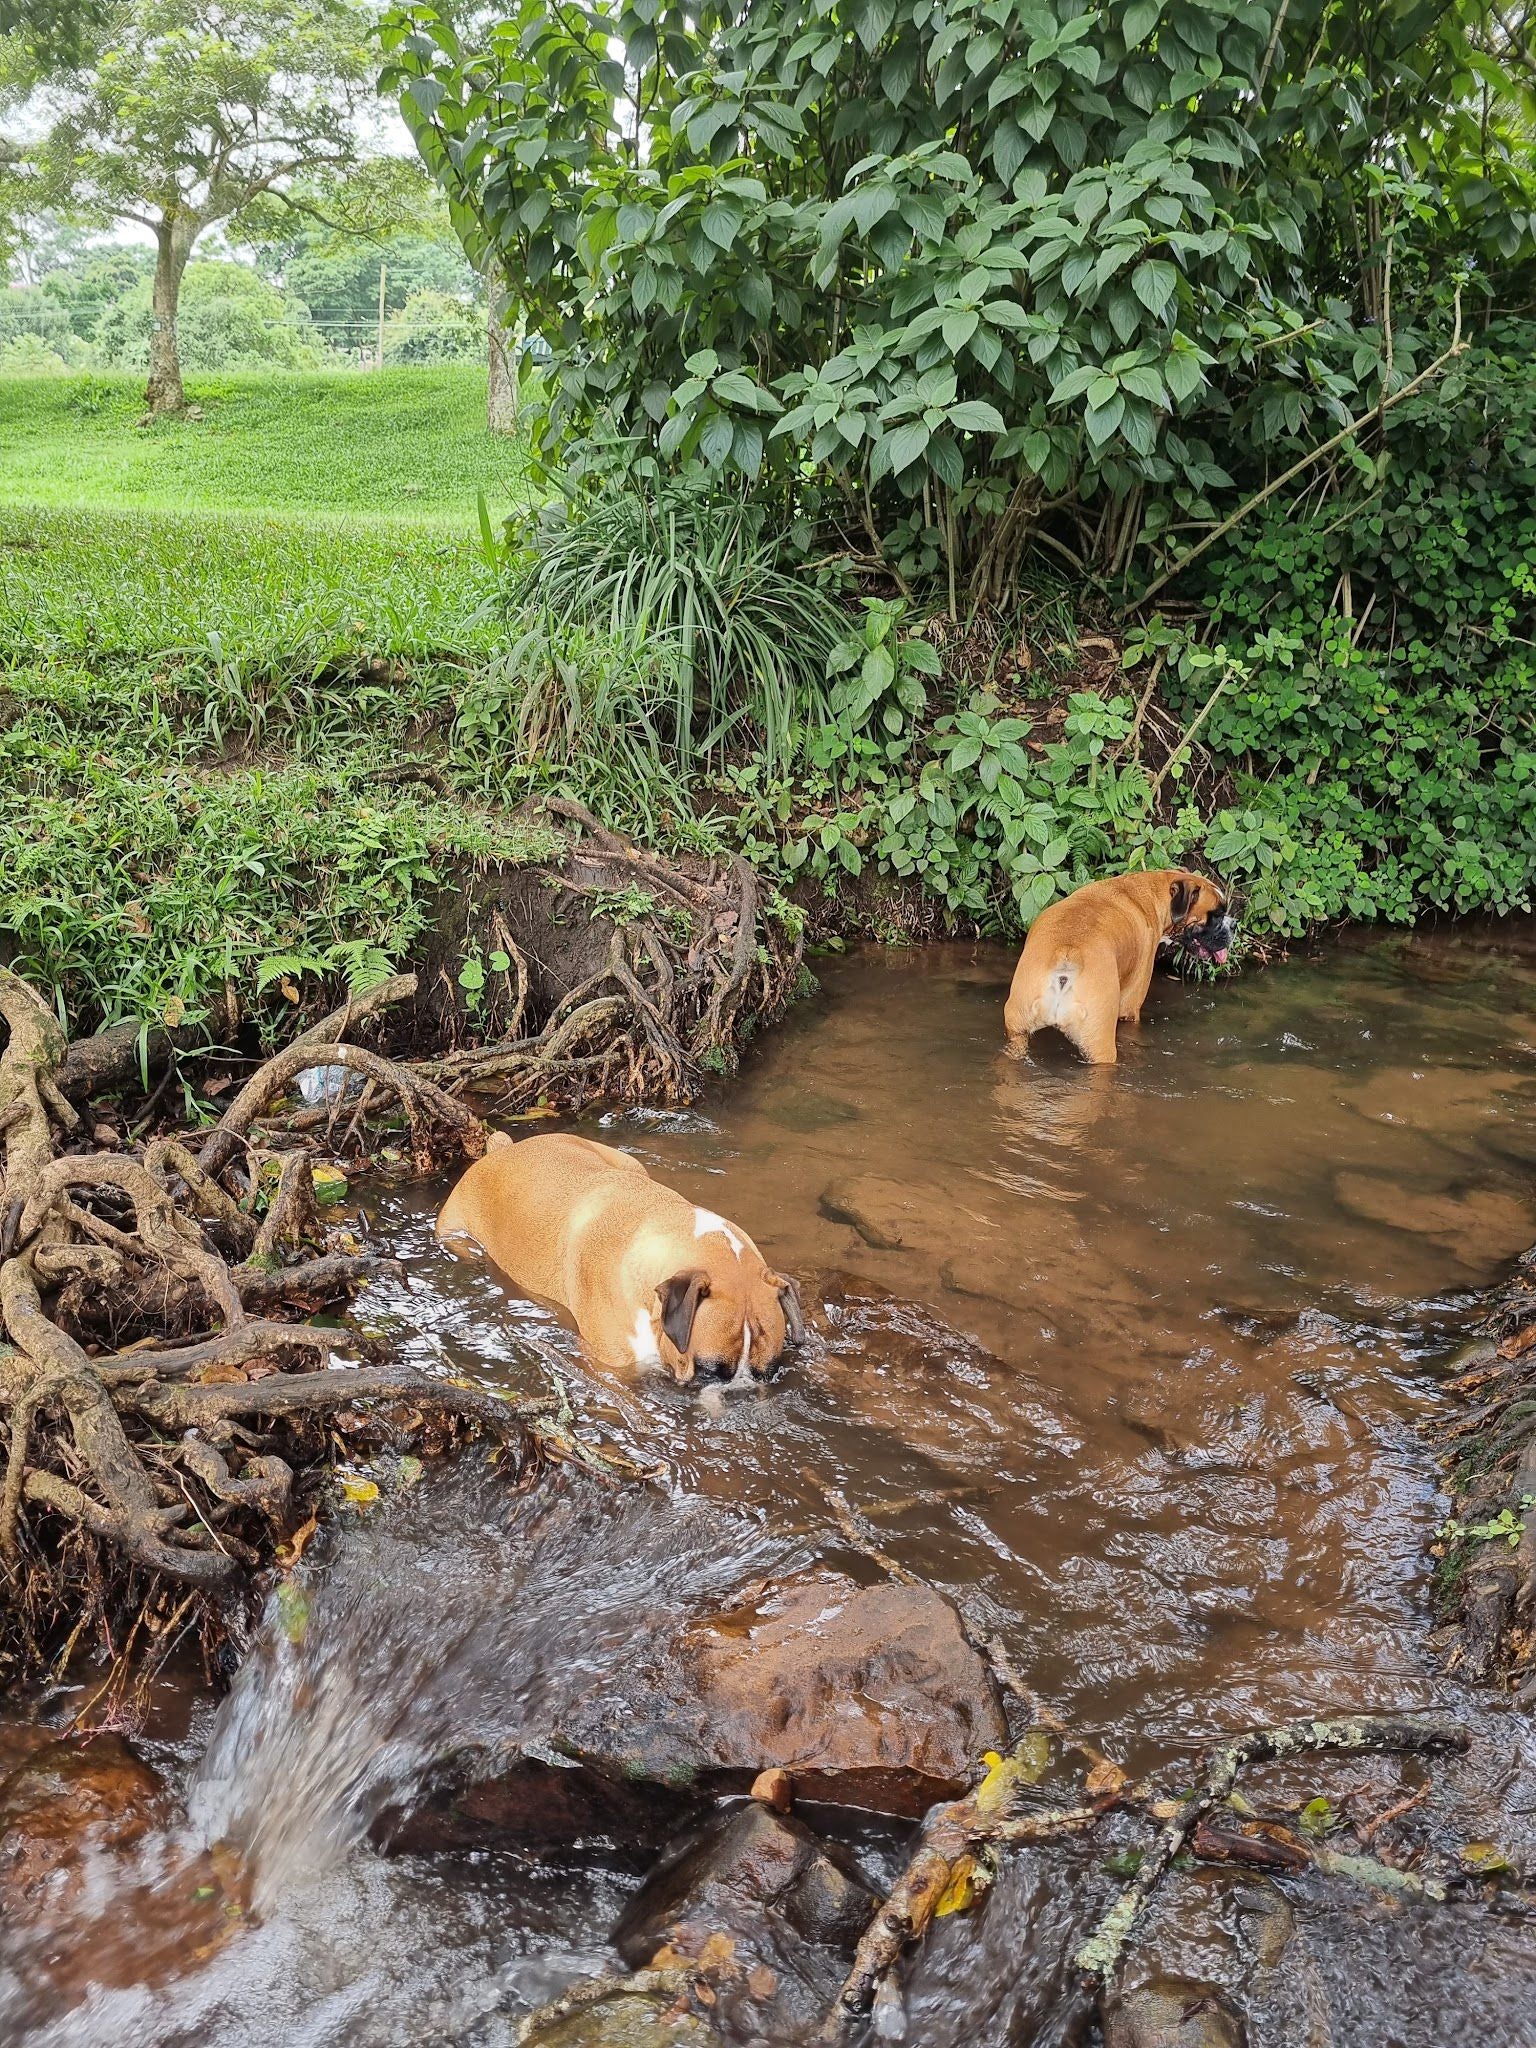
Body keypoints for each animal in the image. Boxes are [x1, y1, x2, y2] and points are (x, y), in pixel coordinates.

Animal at [434, 1130, 806, 1384]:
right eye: (708, 1371)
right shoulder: (611, 1368)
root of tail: (503, 1149)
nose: (740, 1391)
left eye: (770, 1372)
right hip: (454, 1233)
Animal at [1011, 864, 1236, 1064]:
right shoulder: (1130, 1007)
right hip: (1100, 1044)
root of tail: (1067, 953)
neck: (1153, 890)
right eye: (1216, 914)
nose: (1234, 924)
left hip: (1017, 1032)